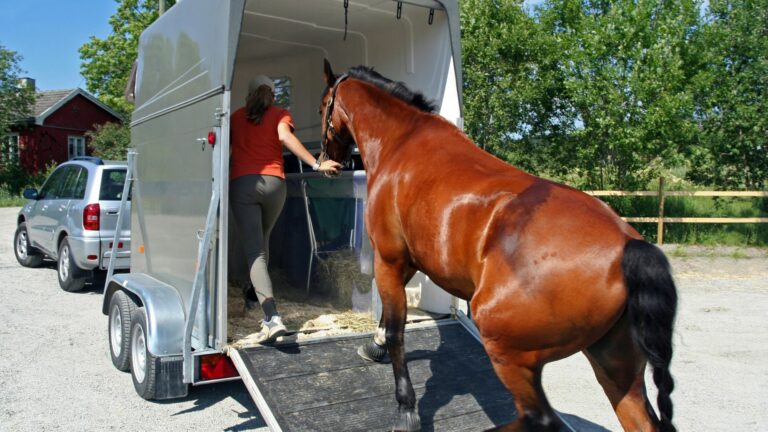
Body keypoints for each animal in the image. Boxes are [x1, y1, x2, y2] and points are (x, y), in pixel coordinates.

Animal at [318, 60, 680, 432]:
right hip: (615, 368)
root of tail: (631, 248)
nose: (327, 160)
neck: (403, 141)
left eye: (323, 106)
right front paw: (373, 348)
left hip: (508, 352)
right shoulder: (408, 261)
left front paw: (406, 407)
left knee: (540, 419)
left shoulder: (389, 259)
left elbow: (396, 331)